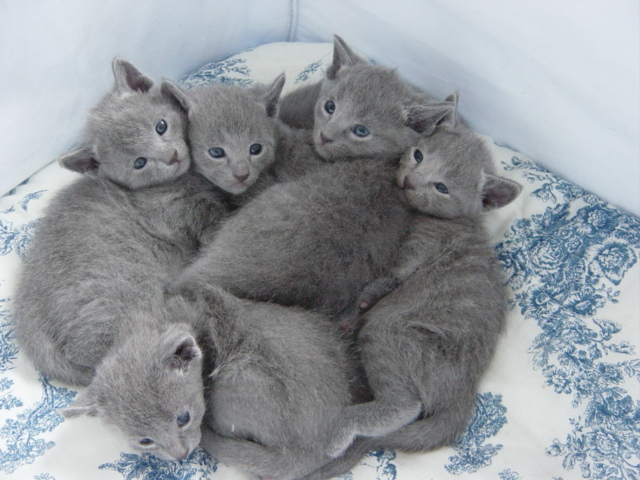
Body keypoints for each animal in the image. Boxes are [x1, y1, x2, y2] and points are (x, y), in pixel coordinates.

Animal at [12, 58, 228, 386]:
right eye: (139, 162)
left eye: (161, 126)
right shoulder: (169, 212)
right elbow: (208, 216)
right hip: (120, 296)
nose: (172, 156)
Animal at [318, 100, 522, 475]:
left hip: (391, 332)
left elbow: (393, 276)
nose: (412, 180)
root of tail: (465, 395)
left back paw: (344, 427)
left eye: (441, 187)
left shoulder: (424, 245)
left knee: (406, 406)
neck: (459, 221)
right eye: (418, 155)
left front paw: (362, 299)